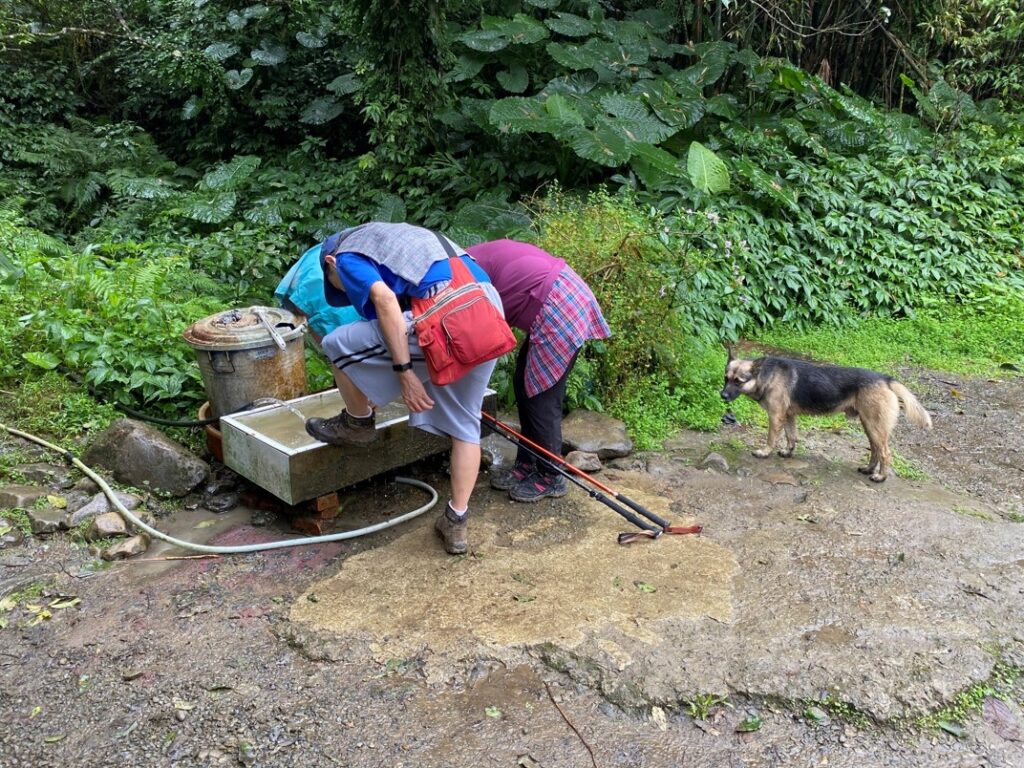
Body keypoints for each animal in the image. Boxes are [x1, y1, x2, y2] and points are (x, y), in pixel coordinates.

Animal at [724, 352, 933, 483]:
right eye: (726, 378)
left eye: (738, 381)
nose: (722, 395)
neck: (767, 375)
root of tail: (886, 378)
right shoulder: (789, 416)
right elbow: (791, 437)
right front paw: (787, 452)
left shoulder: (775, 417)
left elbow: (771, 438)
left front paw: (764, 452)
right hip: (869, 426)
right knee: (875, 450)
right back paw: (868, 470)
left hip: (875, 427)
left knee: (886, 453)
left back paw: (880, 477)